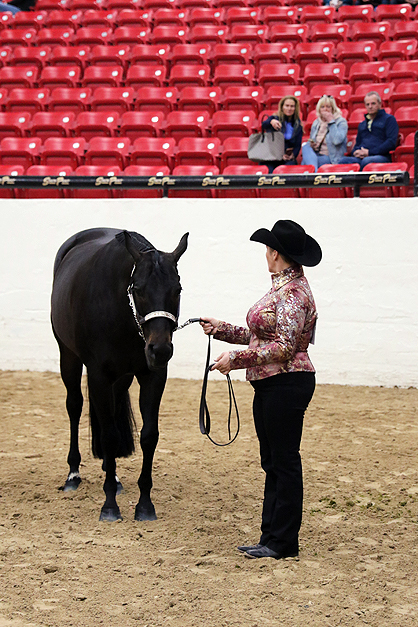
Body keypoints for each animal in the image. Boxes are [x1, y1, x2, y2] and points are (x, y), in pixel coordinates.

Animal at [51, 228, 189, 524]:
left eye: (178, 289)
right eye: (138, 290)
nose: (160, 350)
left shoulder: (152, 376)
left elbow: (148, 435)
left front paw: (145, 506)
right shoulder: (99, 376)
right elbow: (109, 437)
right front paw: (109, 506)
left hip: (121, 378)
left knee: (112, 416)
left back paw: (111, 474)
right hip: (68, 356)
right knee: (74, 406)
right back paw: (73, 475)